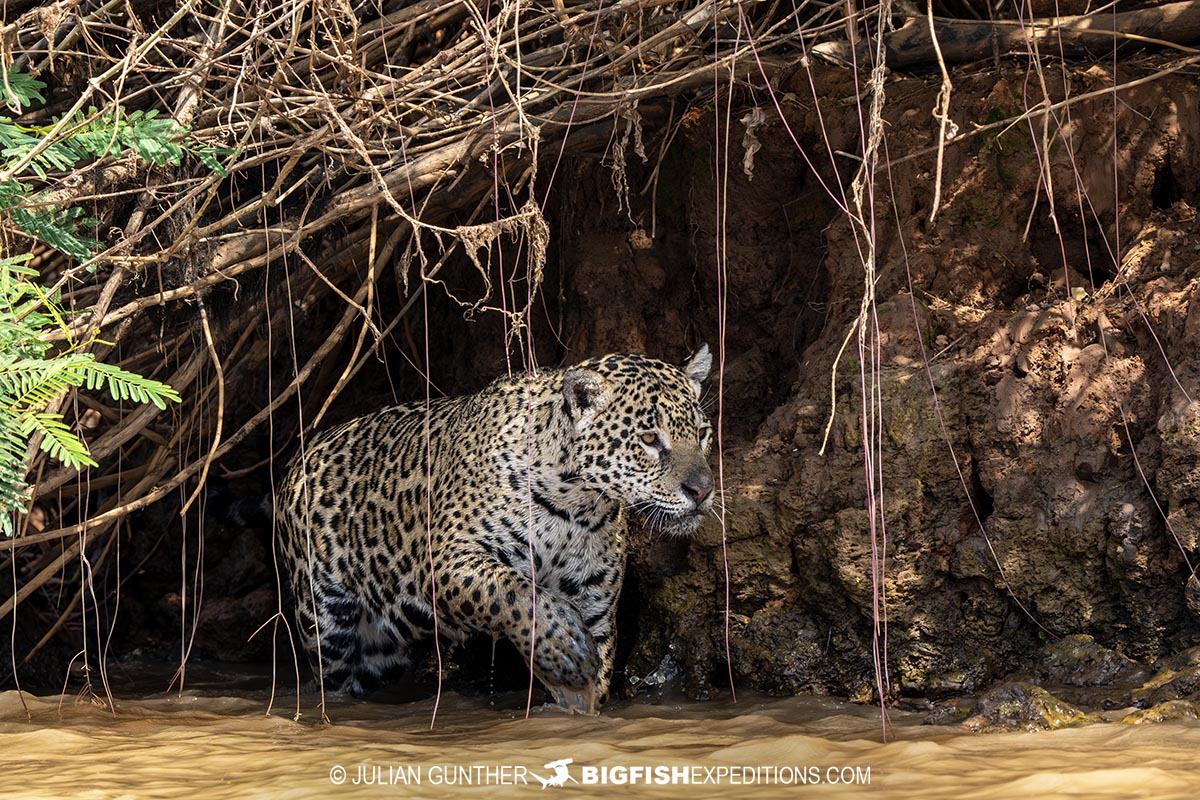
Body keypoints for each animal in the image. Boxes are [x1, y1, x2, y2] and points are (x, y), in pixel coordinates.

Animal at [275, 345, 714, 713]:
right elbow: (511, 591)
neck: (577, 507)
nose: (702, 489)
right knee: (331, 680)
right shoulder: (444, 559)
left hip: (382, 651)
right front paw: (562, 646)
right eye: (649, 438)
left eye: (702, 433)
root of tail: (305, 449)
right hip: (325, 621)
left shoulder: (594, 605)